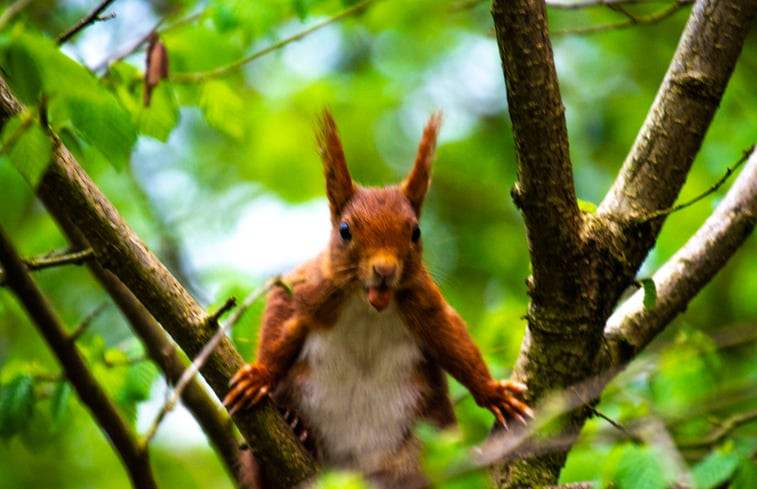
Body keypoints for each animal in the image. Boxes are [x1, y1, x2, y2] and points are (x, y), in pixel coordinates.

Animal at [224, 110, 532, 488]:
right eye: (344, 230)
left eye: (415, 232)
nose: (384, 269)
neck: (367, 305)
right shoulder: (311, 289)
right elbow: (282, 320)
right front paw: (259, 375)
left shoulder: (422, 301)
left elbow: (454, 341)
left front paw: (494, 393)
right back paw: (297, 429)